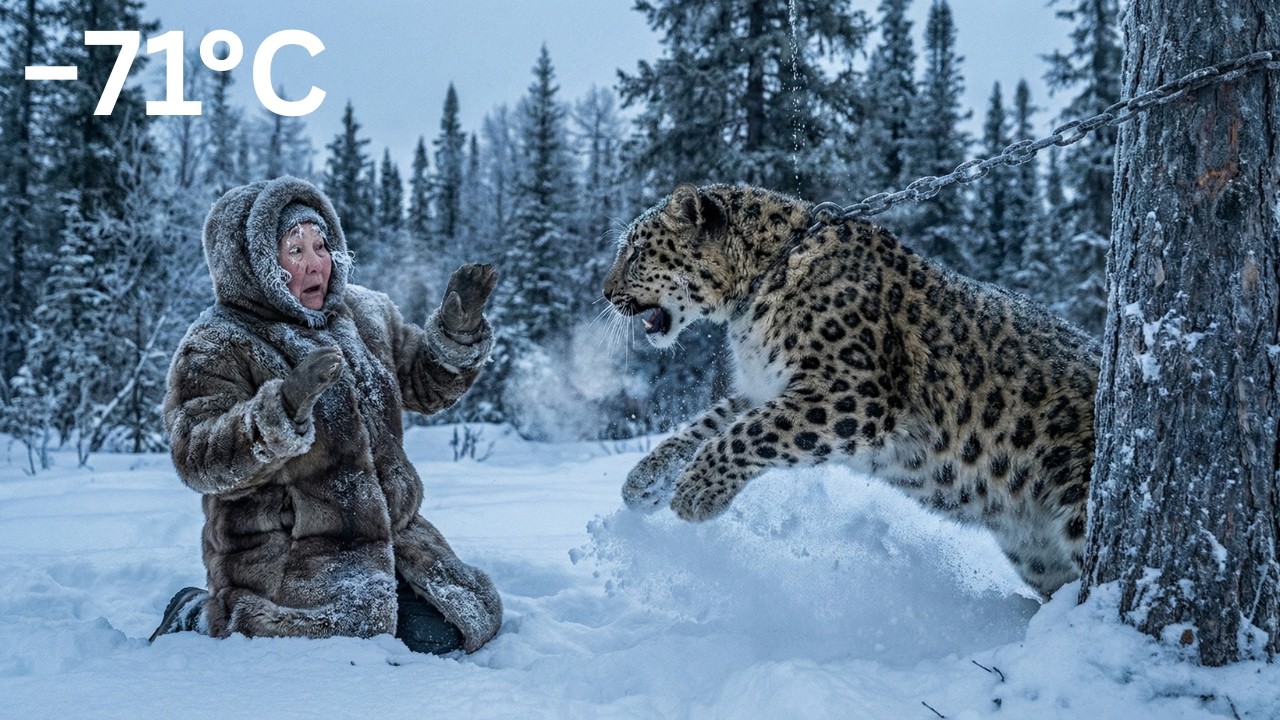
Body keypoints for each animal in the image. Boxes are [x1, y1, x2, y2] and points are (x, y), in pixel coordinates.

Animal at [601, 183, 1100, 598]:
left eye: (635, 252)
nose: (605, 293)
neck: (755, 288)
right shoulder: (767, 386)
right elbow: (706, 425)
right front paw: (645, 482)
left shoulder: (852, 394)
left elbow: (748, 434)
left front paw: (696, 493)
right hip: (1035, 553)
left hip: (1079, 502)